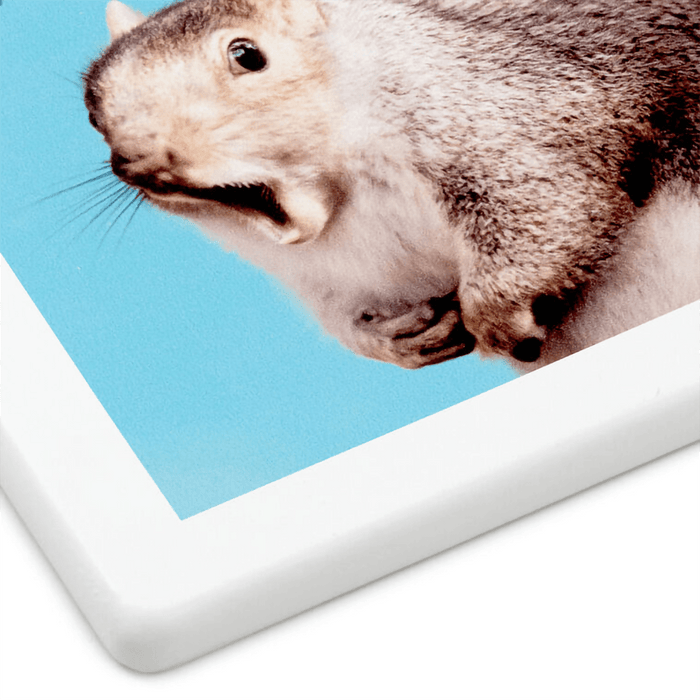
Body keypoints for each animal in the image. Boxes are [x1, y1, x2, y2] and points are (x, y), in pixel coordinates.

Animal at [84, 0, 700, 369]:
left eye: (247, 54)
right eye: (91, 108)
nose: (136, 159)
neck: (351, 206)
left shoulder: (519, 112)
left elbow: (547, 202)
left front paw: (497, 317)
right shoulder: (332, 278)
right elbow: (347, 319)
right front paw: (393, 339)